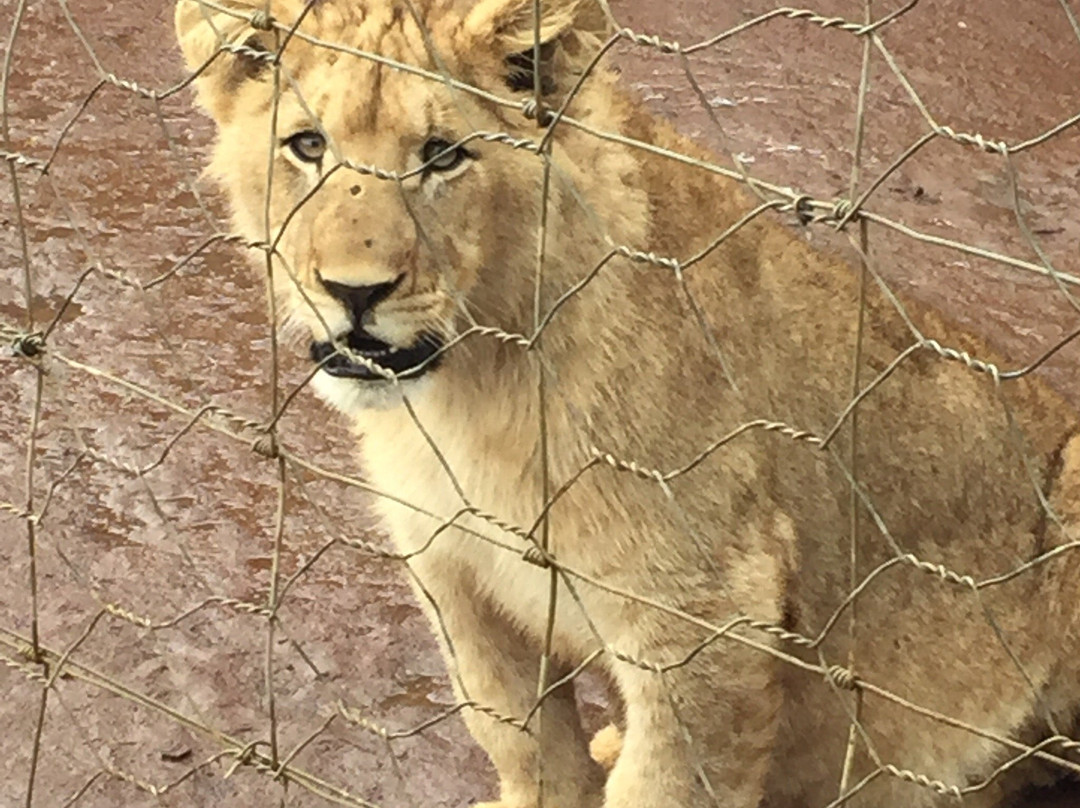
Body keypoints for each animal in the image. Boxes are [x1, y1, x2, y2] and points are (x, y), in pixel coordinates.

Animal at [174, 1, 1080, 806]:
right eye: (307, 146)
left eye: (443, 157)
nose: (353, 292)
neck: (471, 391)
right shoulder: (453, 572)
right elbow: (518, 739)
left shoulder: (708, 618)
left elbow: (669, 783)